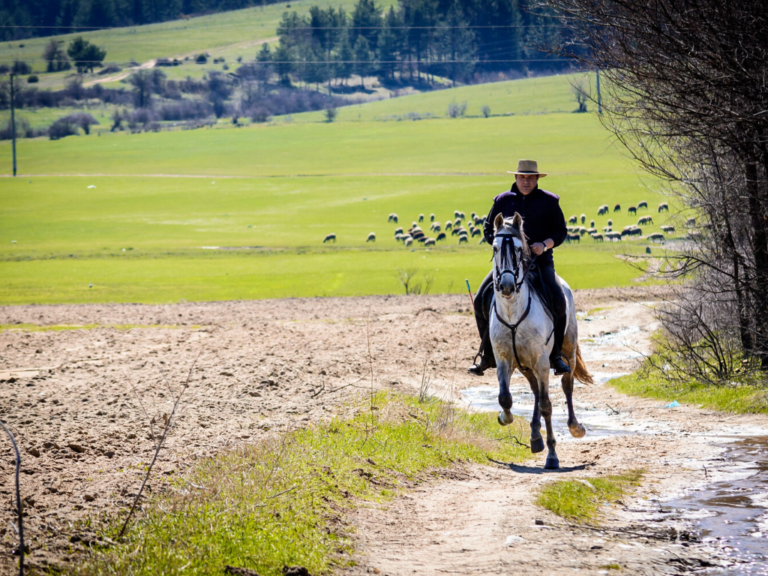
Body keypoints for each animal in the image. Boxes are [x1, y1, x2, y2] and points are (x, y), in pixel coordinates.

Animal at [489, 213, 592, 469]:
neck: (513, 313)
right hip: (526, 366)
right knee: (535, 391)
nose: (506, 286)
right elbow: (505, 397)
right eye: (495, 248)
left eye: (518, 249)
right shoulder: (504, 359)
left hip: (566, 352)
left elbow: (547, 405)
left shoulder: (543, 361)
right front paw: (504, 417)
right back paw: (535, 437)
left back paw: (575, 427)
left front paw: (552, 456)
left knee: (566, 386)